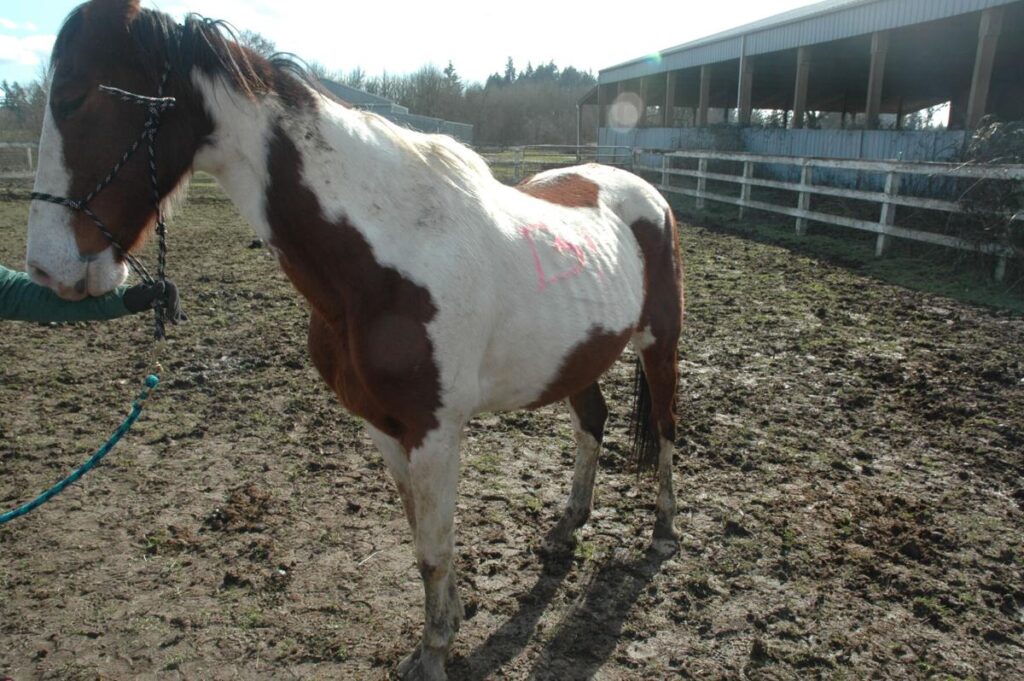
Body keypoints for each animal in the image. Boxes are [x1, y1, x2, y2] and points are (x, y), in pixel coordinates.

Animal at [25, 1, 679, 675]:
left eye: (73, 96)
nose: (47, 270)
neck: (385, 256)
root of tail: (642, 193)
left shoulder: (434, 431)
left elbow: (435, 550)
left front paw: (434, 655)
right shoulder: (381, 426)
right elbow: (422, 543)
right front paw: (445, 626)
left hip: (661, 344)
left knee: (666, 427)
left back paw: (663, 532)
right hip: (579, 359)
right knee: (592, 423)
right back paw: (569, 524)